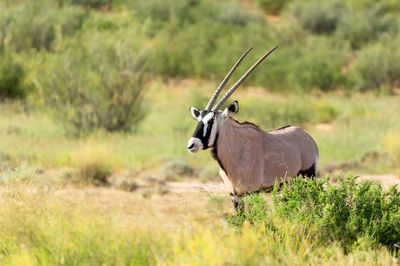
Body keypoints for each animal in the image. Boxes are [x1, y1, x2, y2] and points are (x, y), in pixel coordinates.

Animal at [187, 46, 318, 212]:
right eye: (198, 120)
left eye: (210, 121)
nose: (191, 145)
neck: (235, 150)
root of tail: (309, 138)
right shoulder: (234, 195)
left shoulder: (252, 192)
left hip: (308, 178)